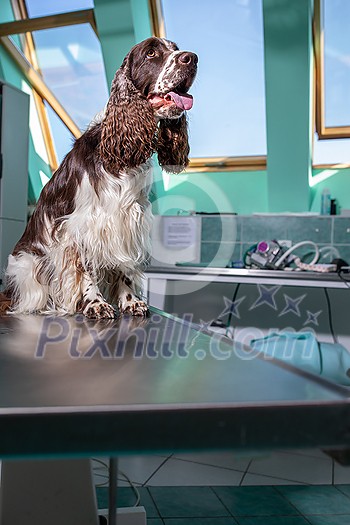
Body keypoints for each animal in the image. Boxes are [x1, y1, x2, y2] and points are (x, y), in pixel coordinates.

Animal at [0, 36, 197, 320]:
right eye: (151, 53)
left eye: (176, 48)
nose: (191, 58)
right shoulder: (78, 227)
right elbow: (85, 270)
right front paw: (95, 303)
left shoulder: (128, 219)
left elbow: (125, 267)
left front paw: (130, 301)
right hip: (26, 265)